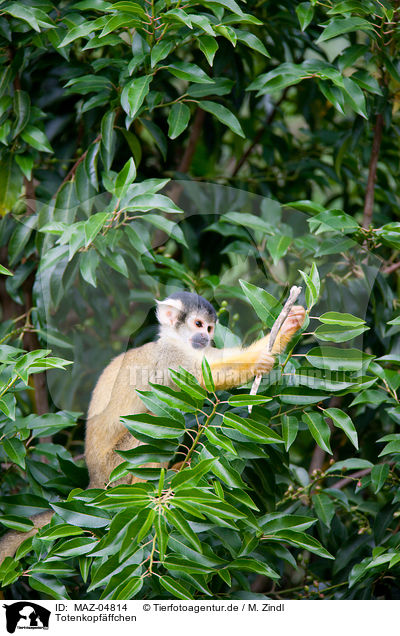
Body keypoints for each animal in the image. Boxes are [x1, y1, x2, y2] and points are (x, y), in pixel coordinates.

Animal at [0, 290, 304, 560]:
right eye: (198, 325)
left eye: (209, 327)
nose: (206, 337)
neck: (175, 342)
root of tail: (94, 481)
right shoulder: (170, 358)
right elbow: (201, 379)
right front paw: (260, 361)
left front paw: (290, 323)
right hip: (116, 469)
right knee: (150, 430)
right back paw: (152, 492)